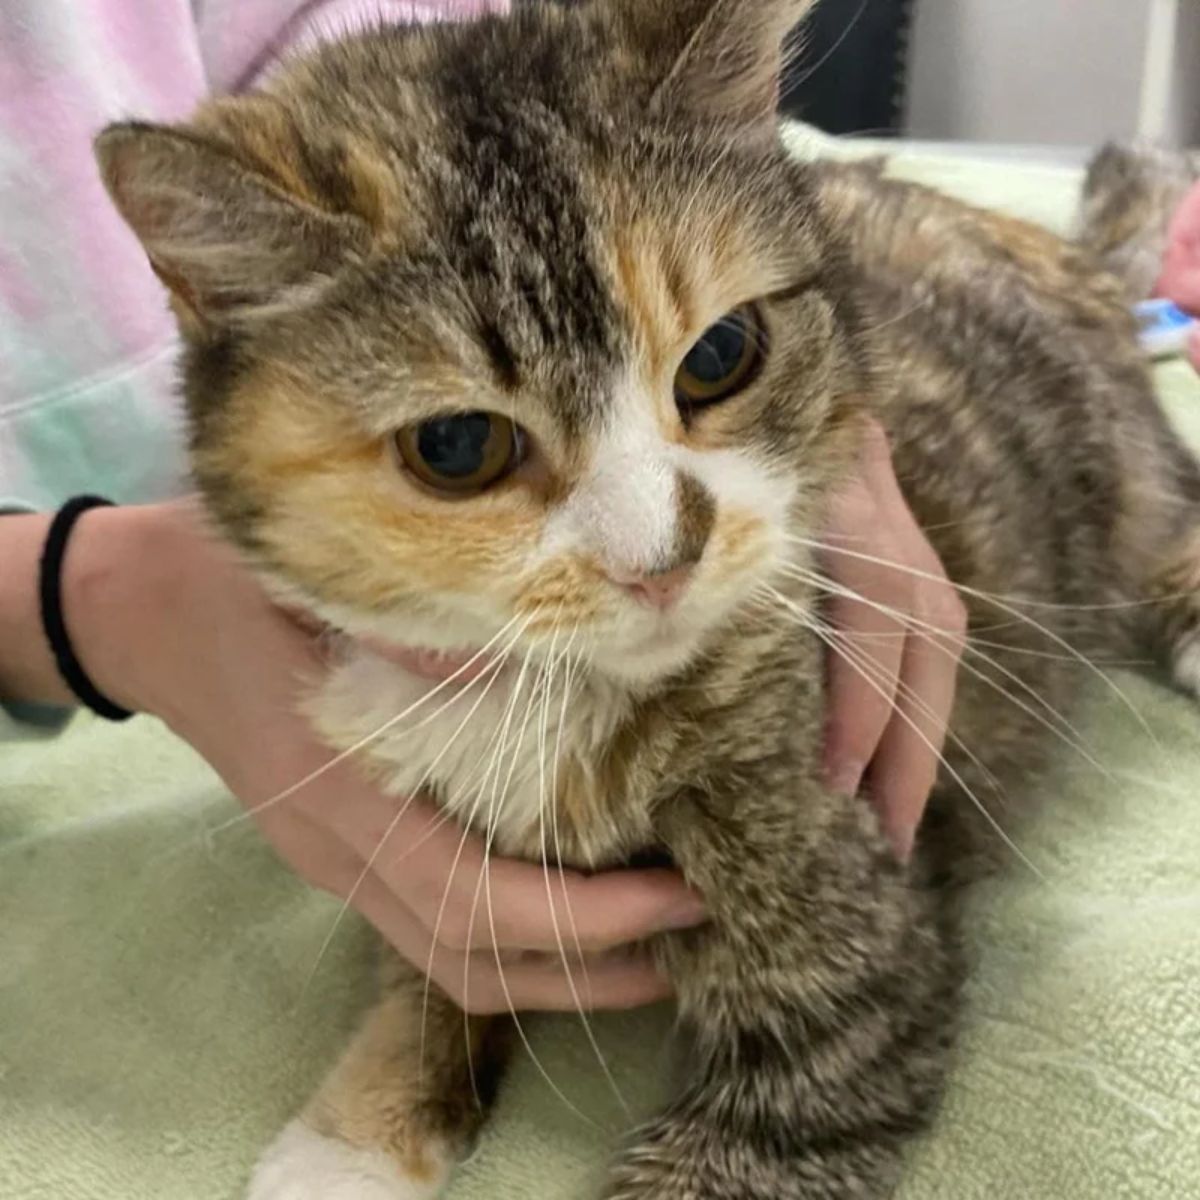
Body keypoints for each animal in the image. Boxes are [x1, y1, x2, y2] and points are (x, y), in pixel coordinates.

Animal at [96, 2, 1200, 1200]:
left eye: (721, 354)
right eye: (458, 445)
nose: (664, 554)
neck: (540, 701)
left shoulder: (854, 943)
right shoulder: (425, 851)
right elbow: (437, 957)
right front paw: (361, 1129)